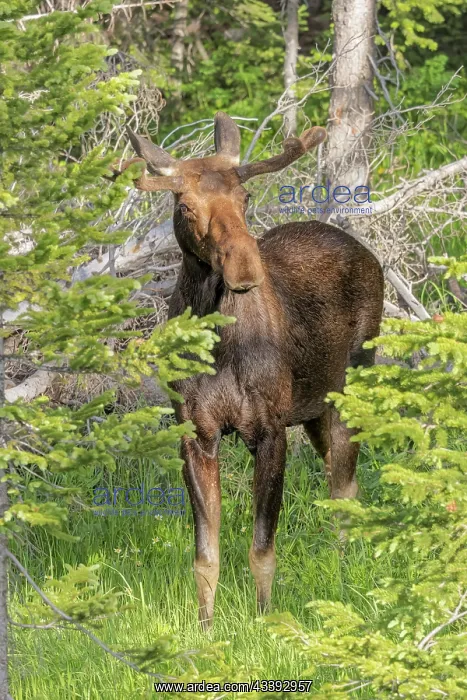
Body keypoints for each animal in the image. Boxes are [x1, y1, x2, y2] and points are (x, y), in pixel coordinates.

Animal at [117, 112, 384, 630]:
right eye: (185, 206)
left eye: (245, 198)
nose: (244, 267)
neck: (219, 346)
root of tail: (368, 254)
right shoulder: (196, 434)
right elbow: (205, 554)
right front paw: (205, 627)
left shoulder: (269, 430)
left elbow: (262, 547)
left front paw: (265, 619)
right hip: (315, 409)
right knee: (341, 483)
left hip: (351, 389)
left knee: (345, 489)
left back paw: (345, 575)